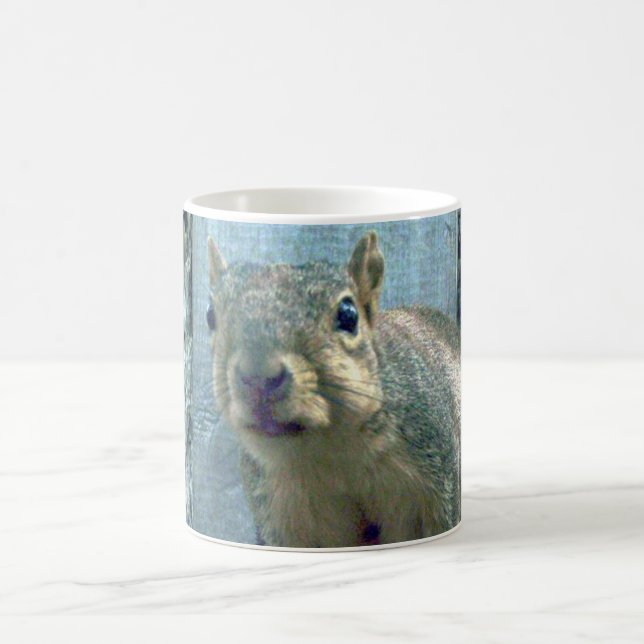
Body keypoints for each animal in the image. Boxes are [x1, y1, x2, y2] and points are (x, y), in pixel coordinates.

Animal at [206, 232, 460, 548]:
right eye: (210, 315)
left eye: (349, 314)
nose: (258, 377)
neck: (329, 450)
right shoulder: (282, 516)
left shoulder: (434, 481)